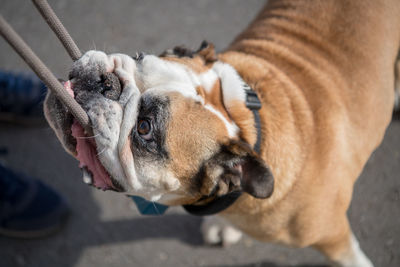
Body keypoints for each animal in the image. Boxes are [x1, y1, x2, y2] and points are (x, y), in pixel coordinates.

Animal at [43, 1, 400, 266]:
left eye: (144, 128)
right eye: (138, 57)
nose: (107, 83)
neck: (245, 124)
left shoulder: (333, 235)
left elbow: (351, 257)